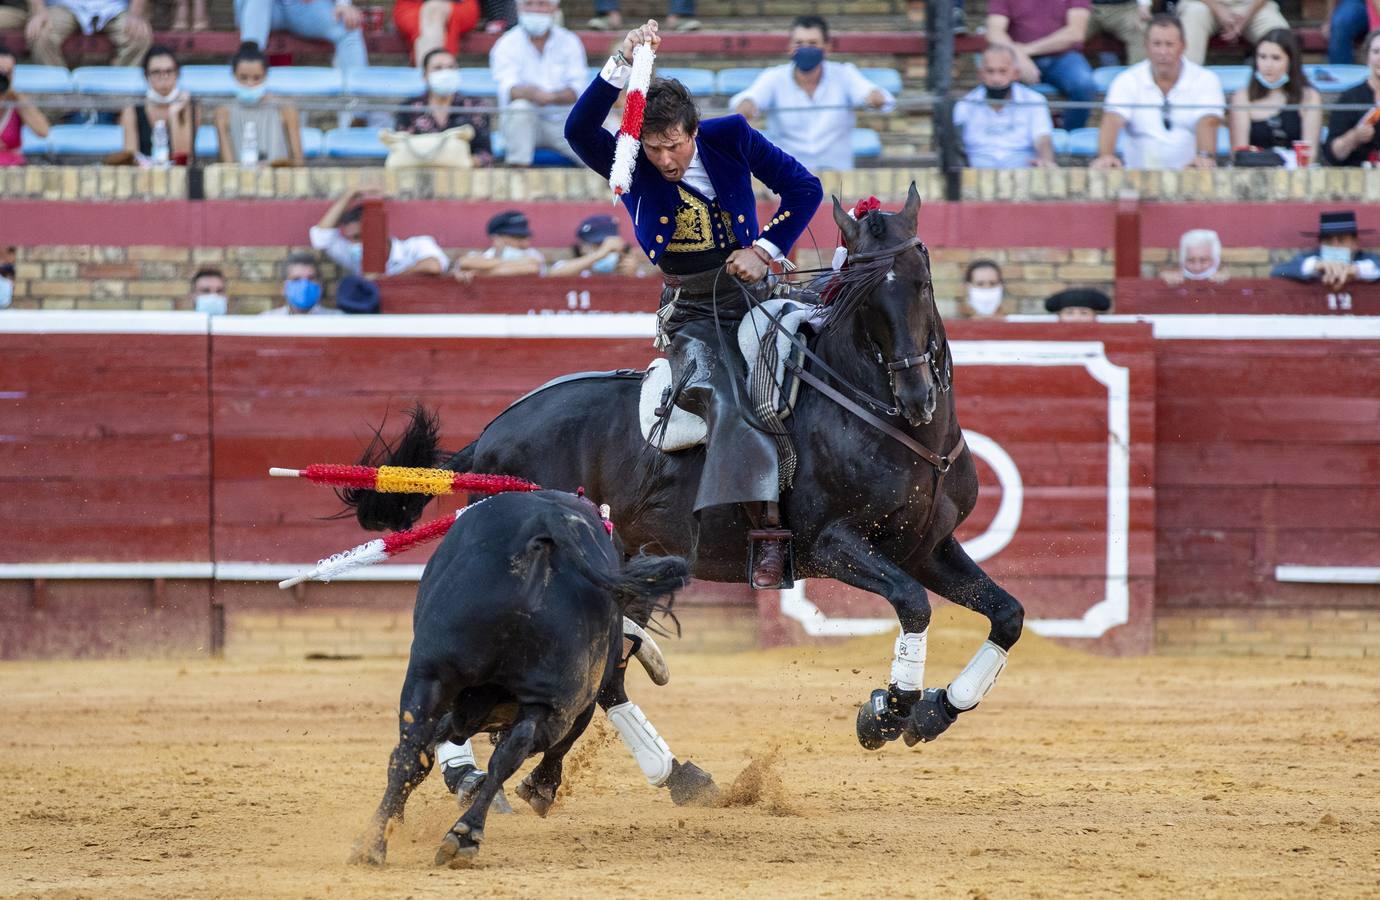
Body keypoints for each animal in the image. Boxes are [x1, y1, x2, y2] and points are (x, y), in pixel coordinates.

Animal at [347, 187, 1026, 750]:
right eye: (859, 294)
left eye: (921, 281)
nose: (916, 396)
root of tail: (486, 440)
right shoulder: (833, 543)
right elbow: (913, 604)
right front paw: (889, 711)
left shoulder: (925, 545)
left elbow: (1008, 615)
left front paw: (935, 709)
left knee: (605, 677)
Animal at [347, 488, 687, 866]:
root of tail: (550, 521)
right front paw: (540, 787)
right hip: (548, 699)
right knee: (500, 750)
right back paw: (455, 833)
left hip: (432, 675)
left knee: (419, 749)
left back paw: (391, 841)